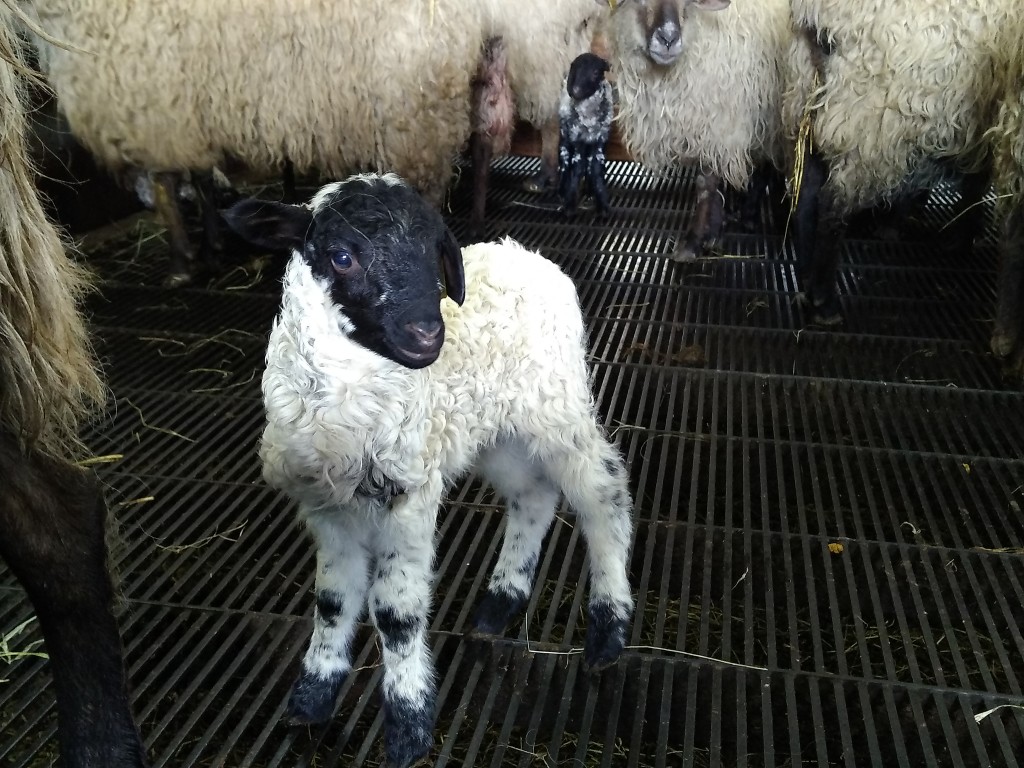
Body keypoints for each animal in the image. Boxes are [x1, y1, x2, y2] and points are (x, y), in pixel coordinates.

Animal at [224, 173, 635, 768]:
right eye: (342, 256)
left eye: (434, 253)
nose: (426, 335)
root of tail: (527, 255)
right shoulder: (326, 503)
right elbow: (332, 602)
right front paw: (311, 698)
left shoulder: (409, 493)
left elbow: (395, 612)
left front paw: (409, 725)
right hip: (497, 432)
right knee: (533, 495)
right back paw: (499, 602)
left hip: (556, 403)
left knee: (603, 494)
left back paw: (607, 631)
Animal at [558, 52, 615, 216]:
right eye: (575, 70)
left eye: (595, 72)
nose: (575, 91)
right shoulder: (577, 141)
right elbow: (577, 170)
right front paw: (569, 204)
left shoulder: (600, 142)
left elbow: (596, 170)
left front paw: (603, 204)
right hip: (565, 137)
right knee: (565, 164)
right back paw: (561, 191)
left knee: (590, 167)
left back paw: (589, 192)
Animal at [783, 0, 1021, 336]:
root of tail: (821, 19)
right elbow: (974, 186)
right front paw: (961, 239)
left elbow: (974, 185)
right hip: (867, 122)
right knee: (833, 205)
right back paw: (825, 303)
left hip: (806, 103)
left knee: (807, 195)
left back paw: (805, 279)